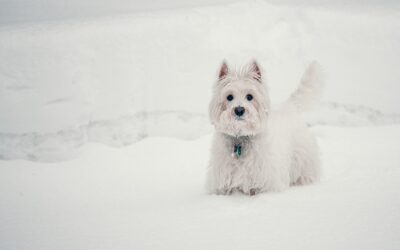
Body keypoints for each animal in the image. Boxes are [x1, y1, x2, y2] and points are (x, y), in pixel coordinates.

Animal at [206, 60, 322, 195]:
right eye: (229, 97)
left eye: (250, 96)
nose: (239, 110)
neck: (240, 138)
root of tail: (289, 107)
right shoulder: (220, 180)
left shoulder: (267, 181)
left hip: (303, 158)